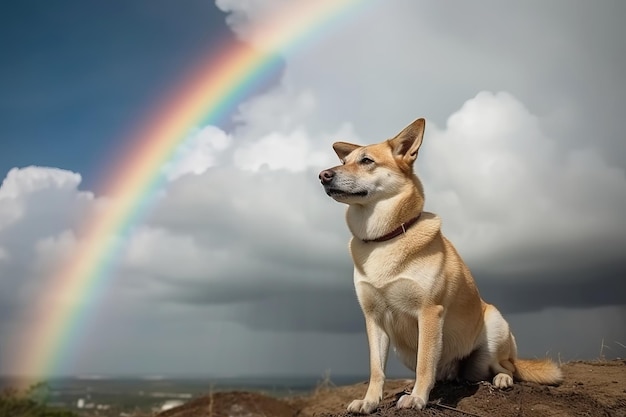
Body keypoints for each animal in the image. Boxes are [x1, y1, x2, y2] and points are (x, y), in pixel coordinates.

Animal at [316, 118, 560, 412]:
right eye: (344, 160)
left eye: (366, 160)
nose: (323, 175)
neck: (385, 238)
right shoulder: (373, 319)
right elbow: (376, 369)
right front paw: (370, 401)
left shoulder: (429, 312)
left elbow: (425, 363)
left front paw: (418, 398)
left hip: (494, 329)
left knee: (506, 367)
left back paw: (501, 379)